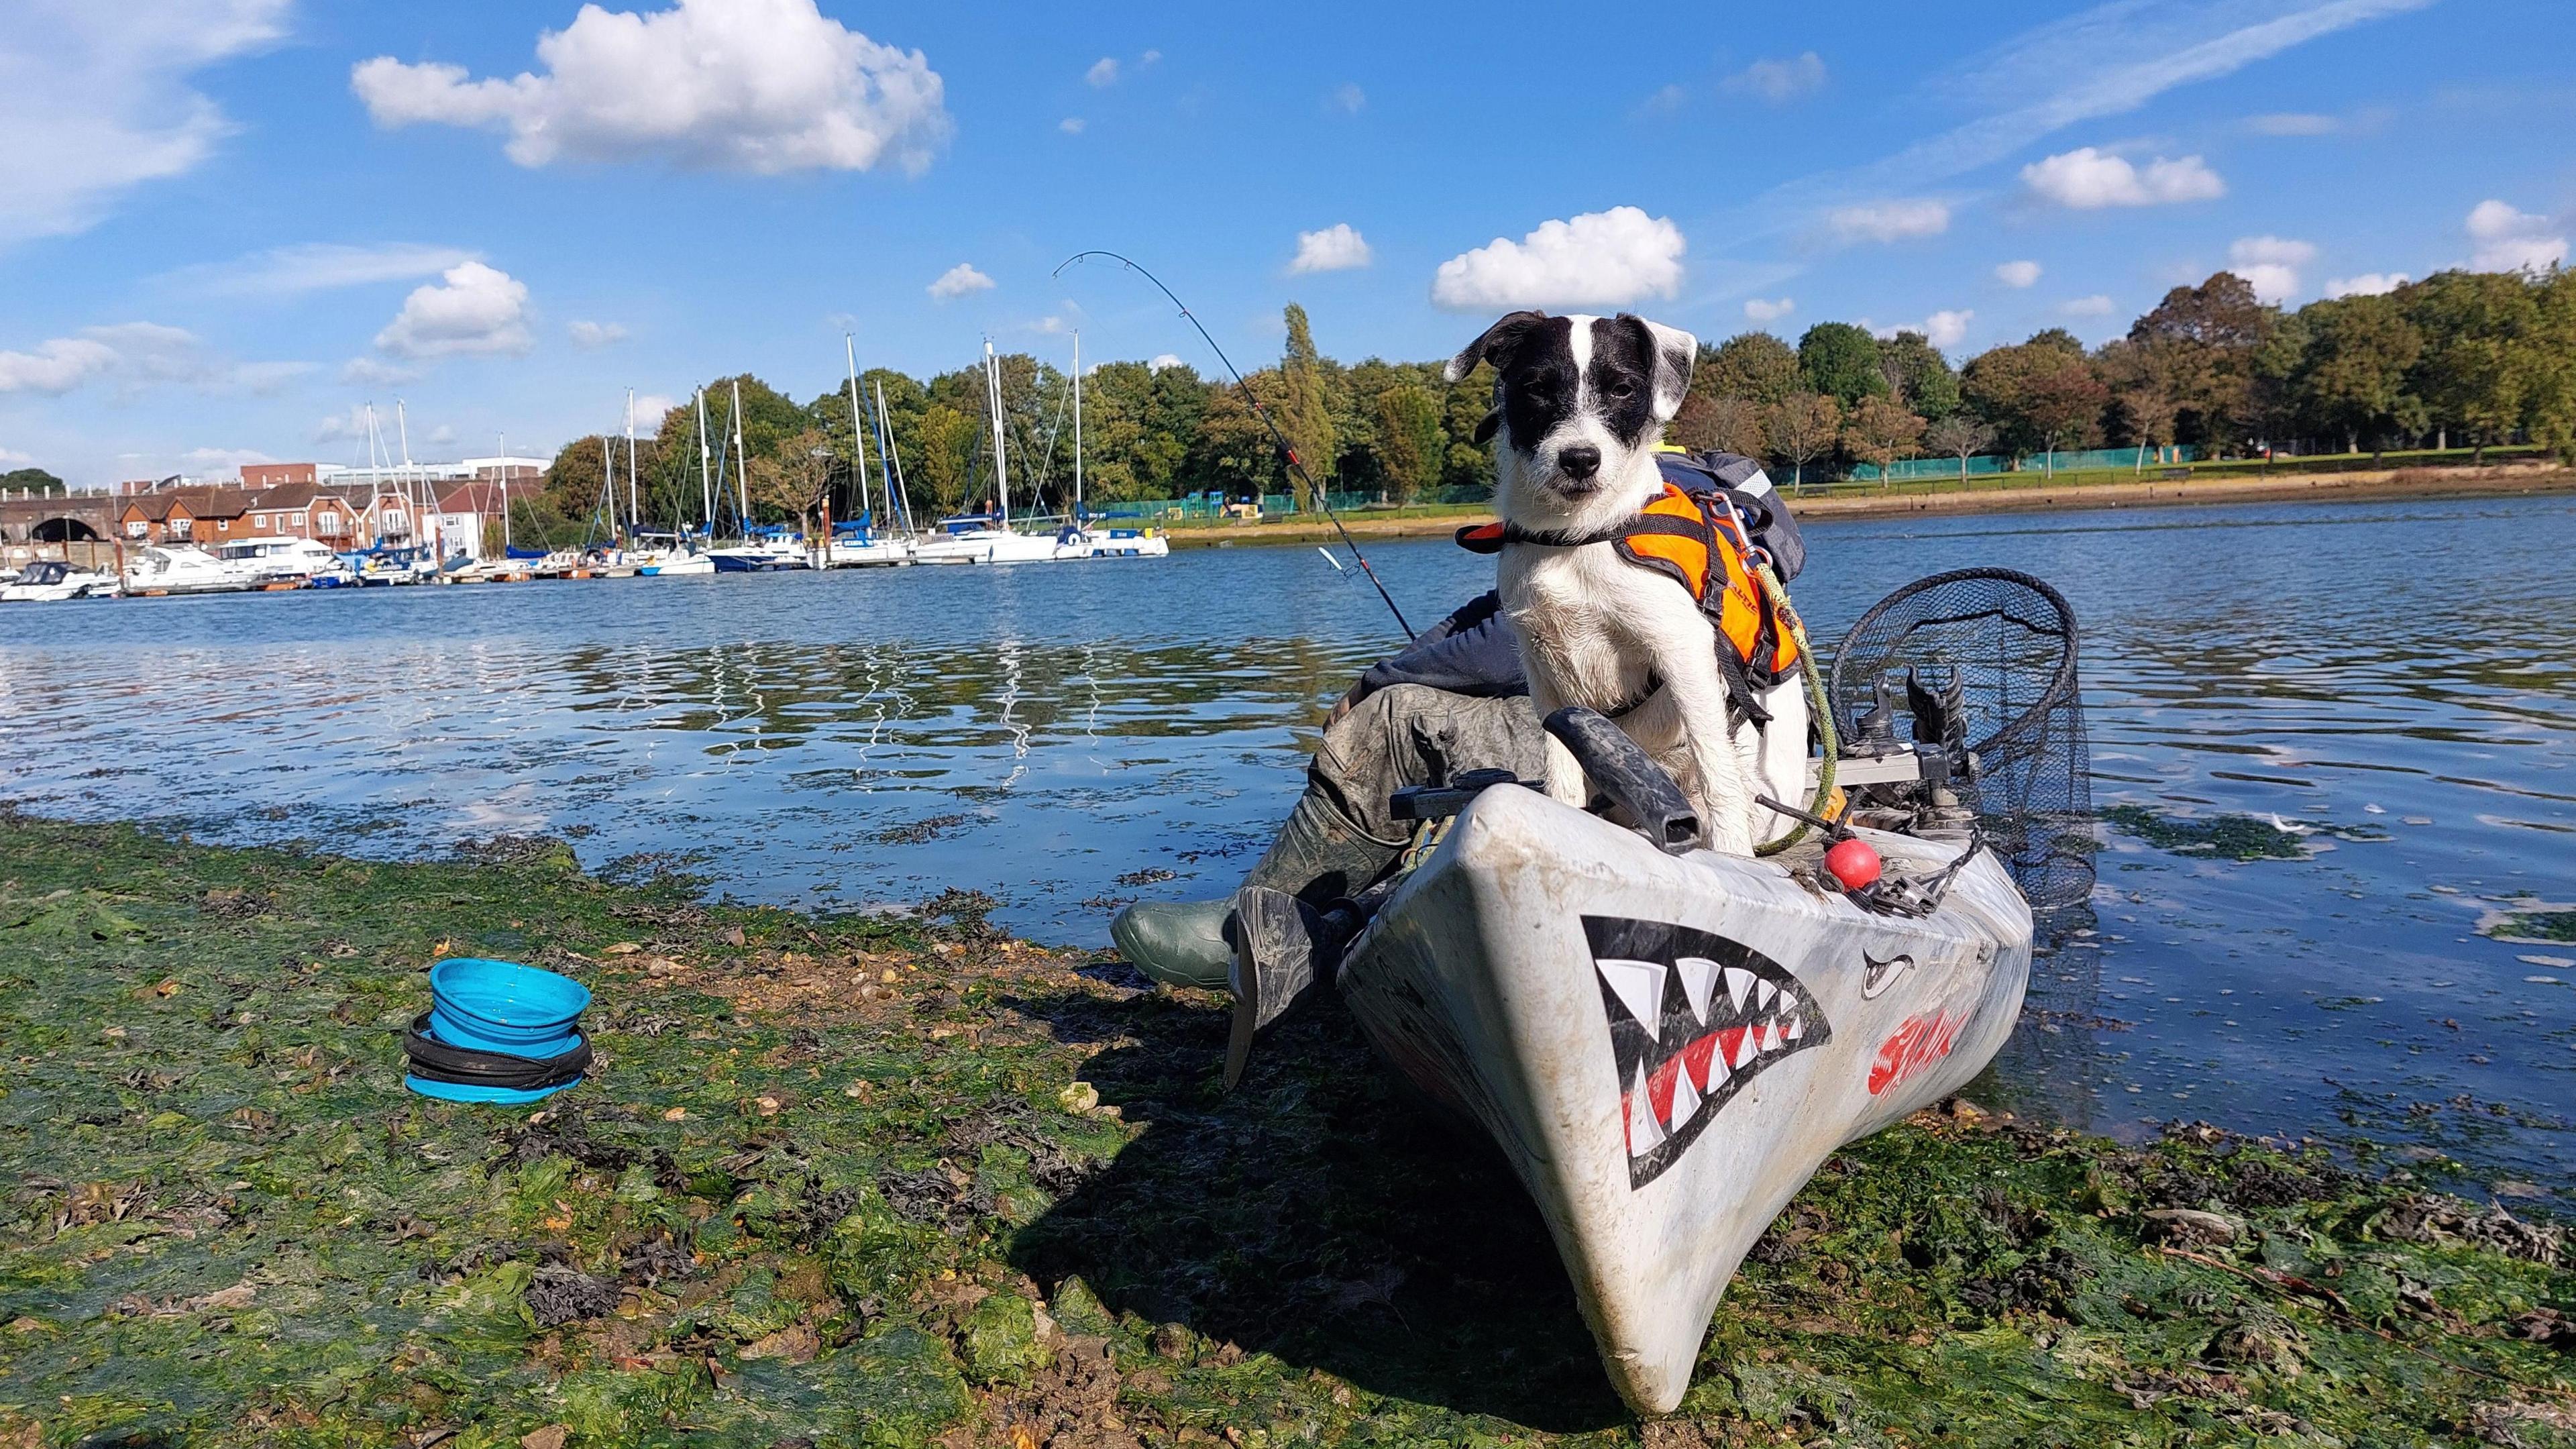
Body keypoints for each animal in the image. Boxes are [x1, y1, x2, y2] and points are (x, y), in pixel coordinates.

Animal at [1452, 304, 1813, 845]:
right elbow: (1561, 776)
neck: (1578, 535)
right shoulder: (1544, 672)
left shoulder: (1684, 652)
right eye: (1537, 387)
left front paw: (1733, 852)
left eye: (1623, 389)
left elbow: (1718, 773)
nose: (1580, 459)